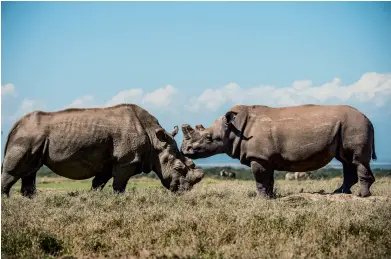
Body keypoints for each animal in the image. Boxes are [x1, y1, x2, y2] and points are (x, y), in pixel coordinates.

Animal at [0, 103, 205, 197]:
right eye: (178, 168)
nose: (184, 192)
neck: (155, 140)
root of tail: (16, 124)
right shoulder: (126, 161)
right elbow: (119, 185)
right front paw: (119, 200)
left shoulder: (108, 163)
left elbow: (97, 184)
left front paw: (93, 199)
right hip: (28, 136)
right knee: (15, 171)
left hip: (33, 137)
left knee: (30, 171)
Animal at [182, 104, 378, 198]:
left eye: (208, 138)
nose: (185, 150)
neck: (233, 128)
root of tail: (368, 118)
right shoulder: (265, 158)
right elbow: (268, 179)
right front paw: (270, 197)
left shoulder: (258, 157)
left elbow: (260, 179)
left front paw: (261, 199)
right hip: (347, 126)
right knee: (346, 160)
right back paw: (340, 193)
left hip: (354, 125)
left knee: (357, 160)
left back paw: (362, 196)